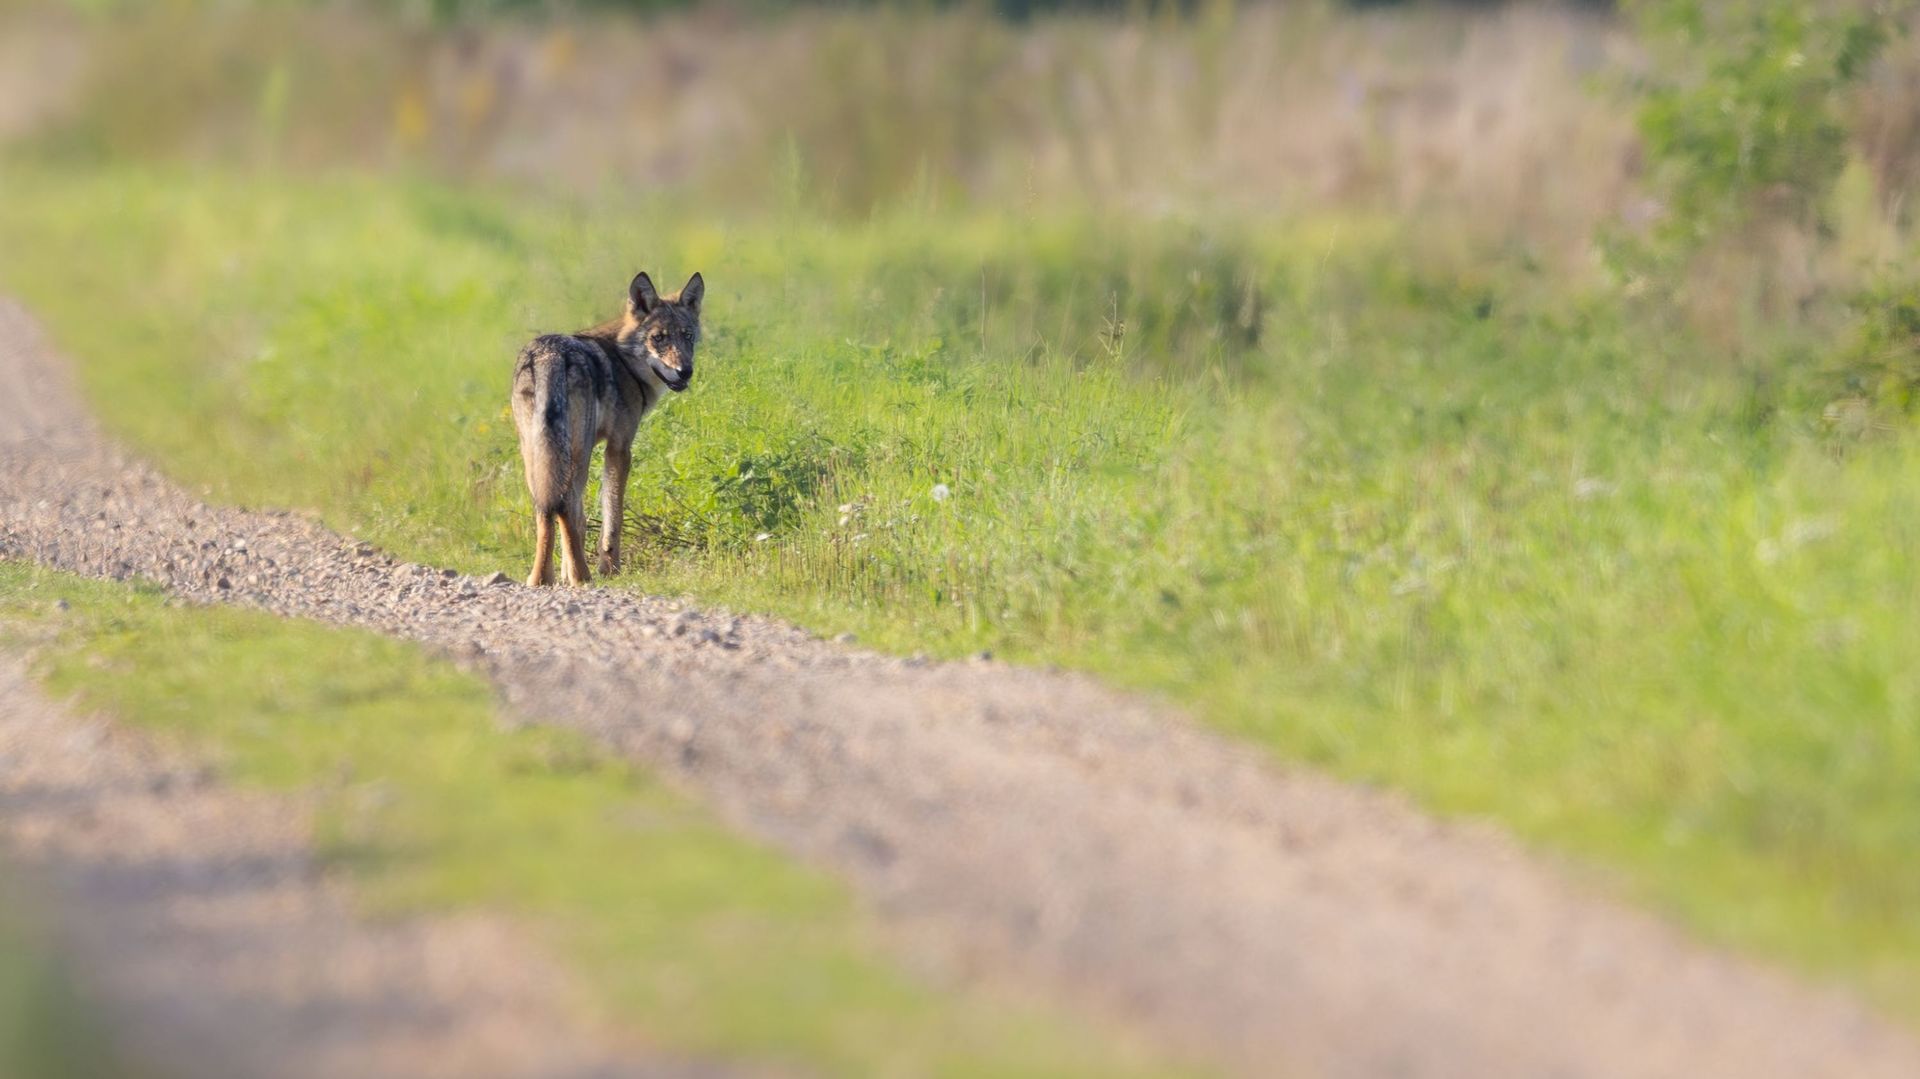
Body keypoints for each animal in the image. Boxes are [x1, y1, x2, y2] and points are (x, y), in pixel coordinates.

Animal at [510, 270, 704, 586]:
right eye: (658, 338)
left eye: (687, 336)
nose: (684, 371)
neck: (623, 362)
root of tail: (549, 355)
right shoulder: (619, 448)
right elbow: (613, 515)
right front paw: (610, 568)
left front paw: (565, 574)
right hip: (578, 453)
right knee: (566, 505)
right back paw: (582, 576)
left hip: (536, 454)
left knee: (546, 507)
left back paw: (541, 578)